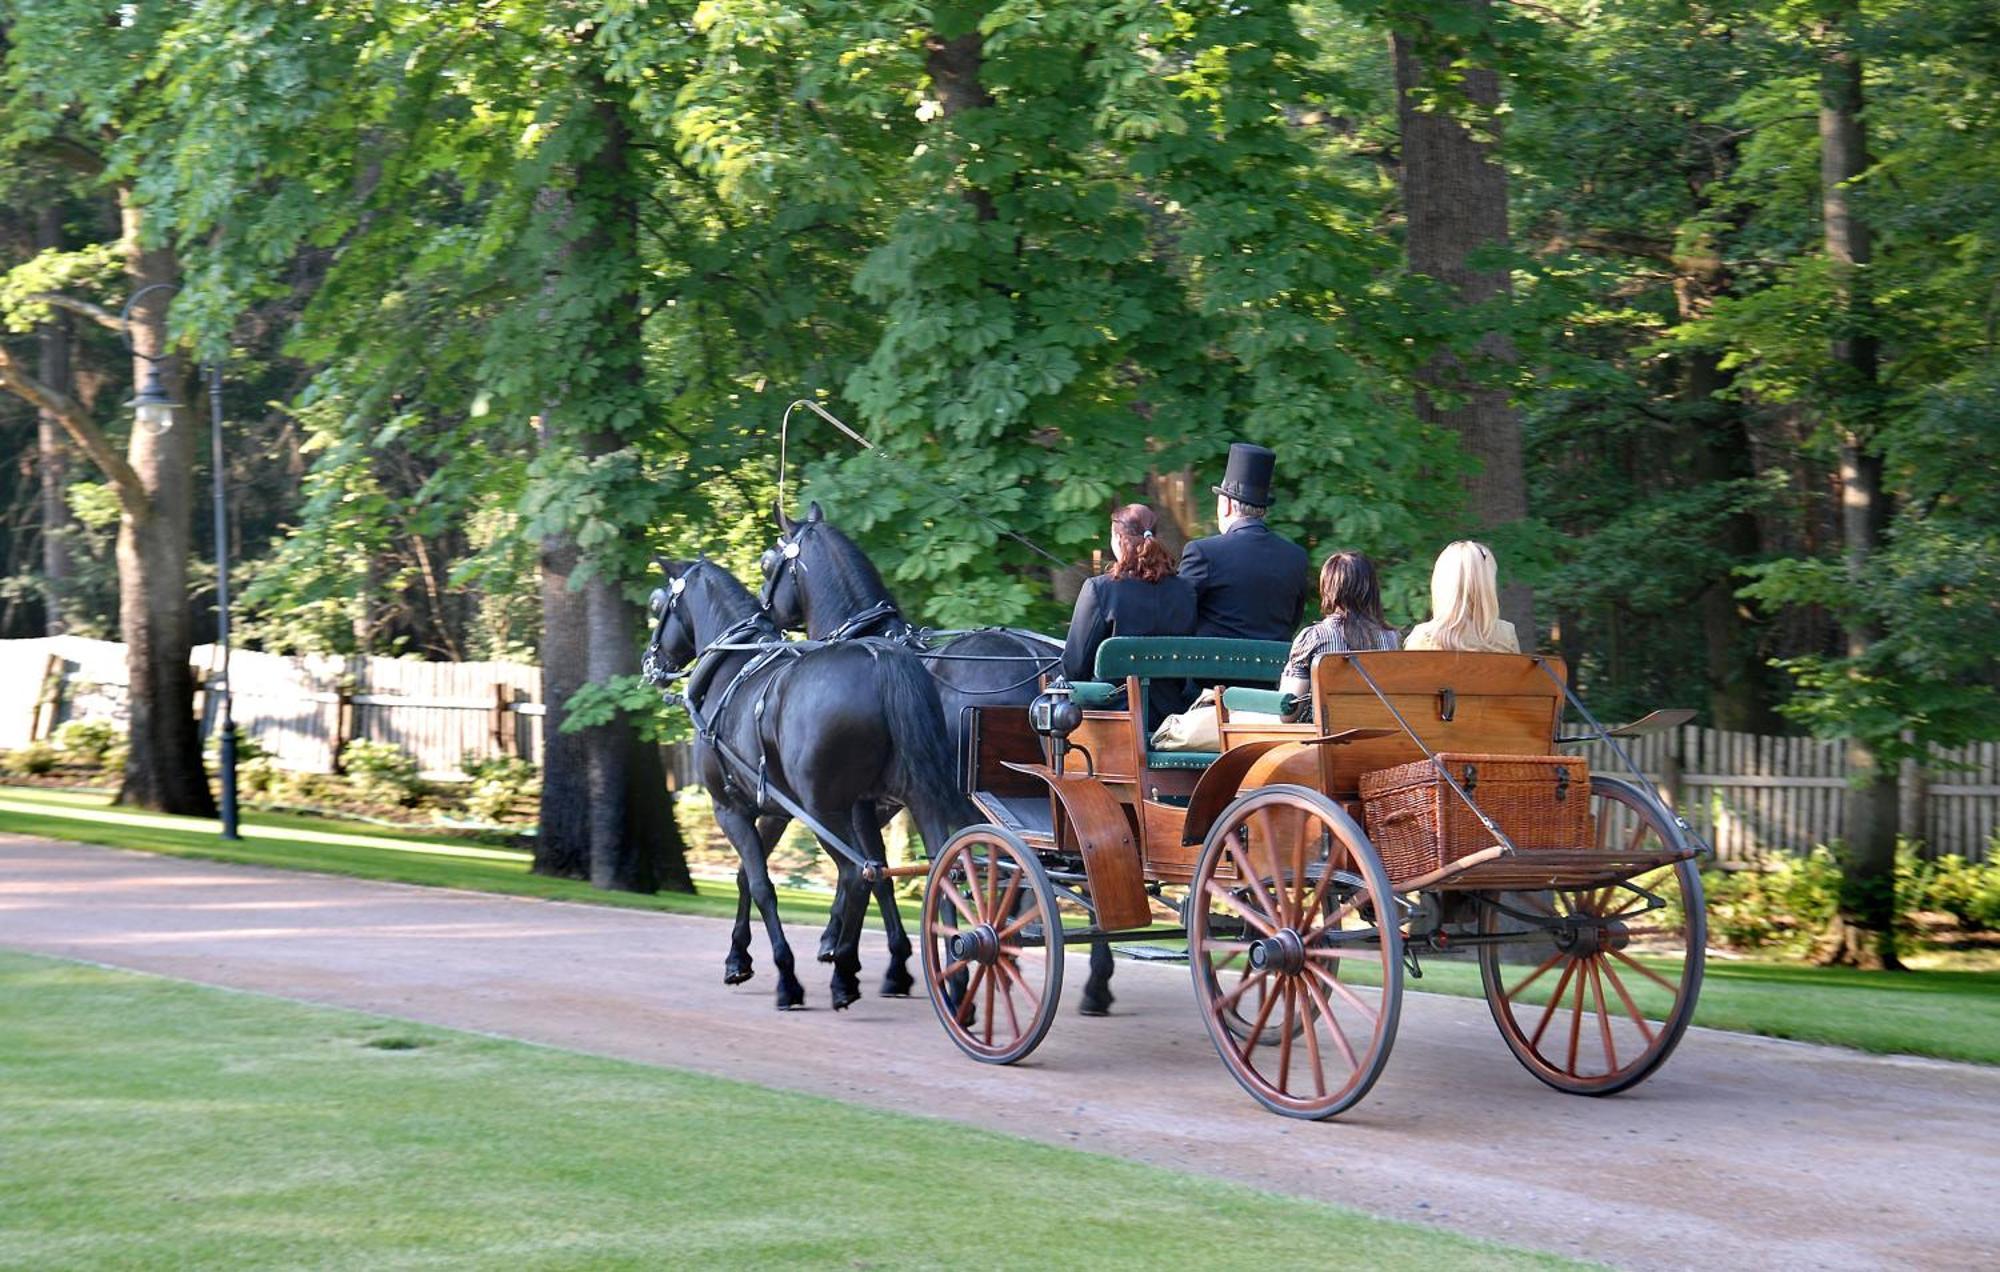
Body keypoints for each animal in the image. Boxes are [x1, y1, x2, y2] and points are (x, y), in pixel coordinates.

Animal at [644, 556, 980, 1012]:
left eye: (657, 604)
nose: (651, 661)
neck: (734, 668)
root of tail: (880, 656)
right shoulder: (776, 809)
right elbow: (745, 876)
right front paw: (738, 958)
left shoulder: (730, 809)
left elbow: (762, 884)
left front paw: (787, 975)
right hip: (917, 796)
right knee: (942, 870)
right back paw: (955, 982)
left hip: (825, 808)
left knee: (858, 874)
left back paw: (845, 976)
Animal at [752, 504, 1128, 1012]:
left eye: (769, 562)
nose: (763, 616)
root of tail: (1041, 664)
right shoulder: (889, 800)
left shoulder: (860, 801)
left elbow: (877, 871)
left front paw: (888, 961)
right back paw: (1088, 978)